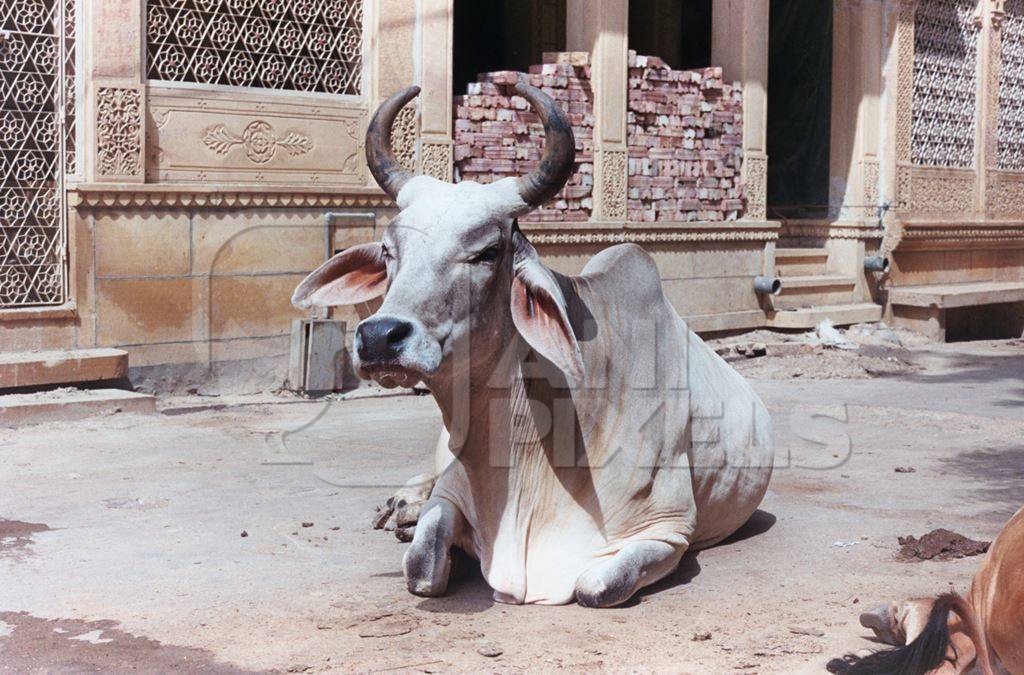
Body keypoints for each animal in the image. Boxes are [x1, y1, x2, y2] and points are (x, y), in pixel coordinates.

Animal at [292, 82, 770, 606]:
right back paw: (402, 505)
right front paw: (426, 530)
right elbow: (422, 566)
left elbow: (594, 586)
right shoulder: (452, 495)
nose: (379, 337)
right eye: (388, 250)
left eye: (487, 251)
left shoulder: (668, 531)